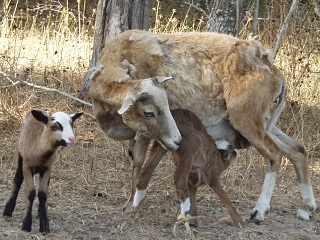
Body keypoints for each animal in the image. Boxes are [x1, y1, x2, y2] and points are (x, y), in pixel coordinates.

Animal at [89, 29, 316, 221]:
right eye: (149, 112)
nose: (178, 140)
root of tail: (271, 67)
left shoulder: (151, 133)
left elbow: (141, 162)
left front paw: (134, 203)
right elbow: (135, 161)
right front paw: (130, 203)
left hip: (245, 118)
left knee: (275, 154)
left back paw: (259, 211)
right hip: (261, 119)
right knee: (297, 149)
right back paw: (306, 208)